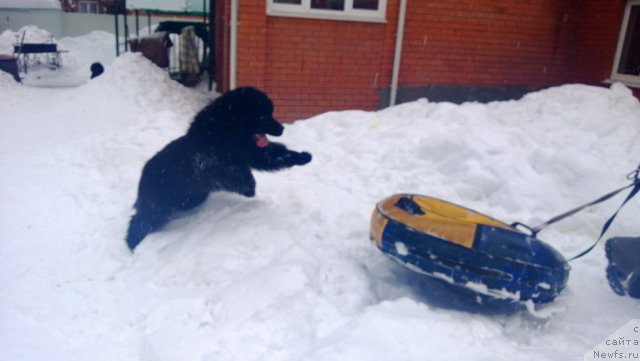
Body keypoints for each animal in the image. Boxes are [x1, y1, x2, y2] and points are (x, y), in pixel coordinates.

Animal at [125, 87, 312, 250]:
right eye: (262, 116)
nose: (282, 128)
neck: (226, 133)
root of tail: (142, 179)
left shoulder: (252, 153)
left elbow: (276, 156)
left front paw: (302, 157)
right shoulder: (211, 166)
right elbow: (234, 173)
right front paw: (249, 188)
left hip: (191, 197)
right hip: (156, 207)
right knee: (139, 222)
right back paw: (133, 245)